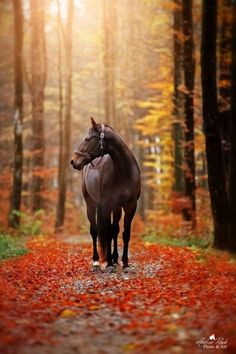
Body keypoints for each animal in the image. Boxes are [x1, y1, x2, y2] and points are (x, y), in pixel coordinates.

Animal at [70, 117, 140, 272]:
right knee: (95, 230)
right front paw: (108, 264)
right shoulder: (107, 205)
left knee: (115, 230)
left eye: (87, 139)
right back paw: (97, 261)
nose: (73, 161)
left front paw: (124, 263)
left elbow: (124, 233)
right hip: (91, 204)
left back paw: (115, 259)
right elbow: (107, 232)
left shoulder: (130, 206)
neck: (123, 172)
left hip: (116, 208)